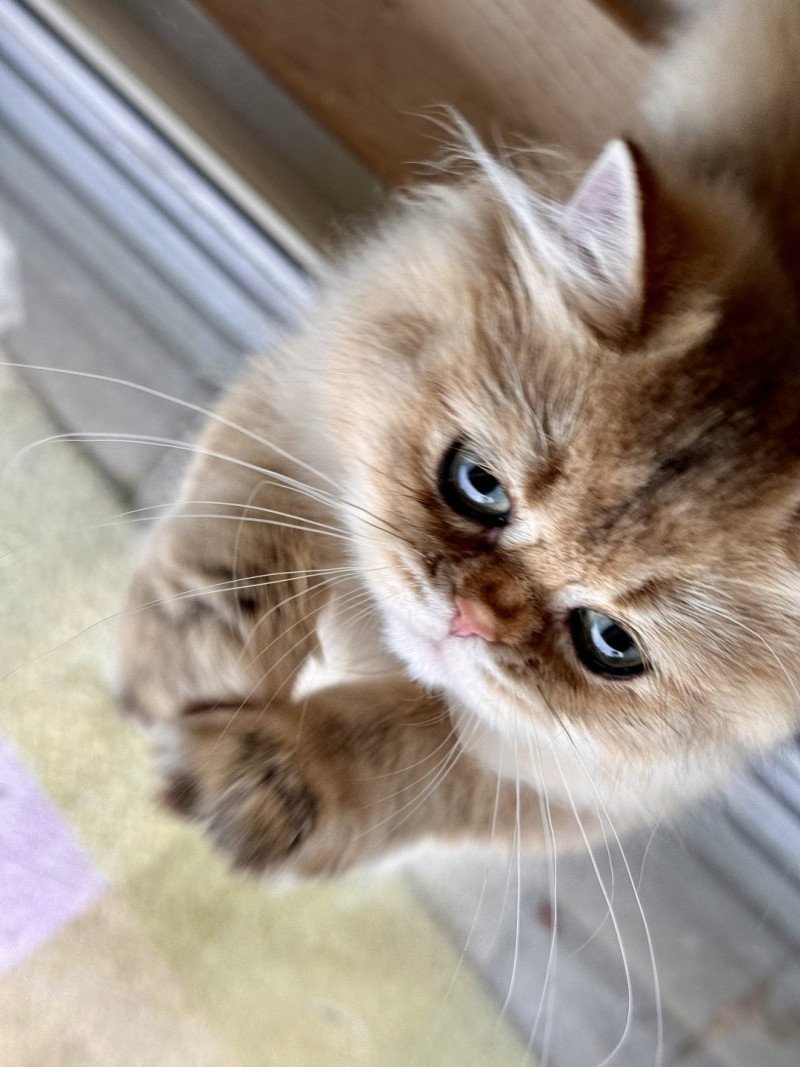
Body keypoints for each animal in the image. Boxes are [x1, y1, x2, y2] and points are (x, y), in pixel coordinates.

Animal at [115, 0, 800, 879]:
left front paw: (261, 783)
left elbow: (399, 747)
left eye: (609, 642)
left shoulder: (562, 788)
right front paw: (190, 665)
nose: (470, 616)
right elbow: (248, 548)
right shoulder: (303, 397)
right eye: (476, 484)